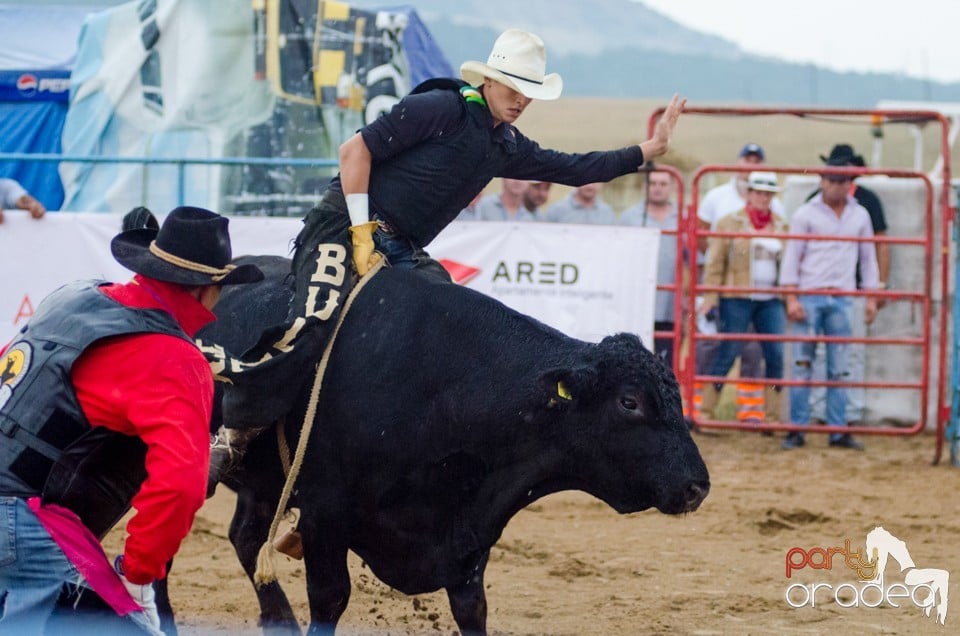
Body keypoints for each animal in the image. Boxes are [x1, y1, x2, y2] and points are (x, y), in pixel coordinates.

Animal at [165, 255, 708, 636]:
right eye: (630, 402)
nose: (697, 486)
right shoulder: (325, 514)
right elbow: (331, 599)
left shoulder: (468, 533)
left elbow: (472, 609)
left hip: (262, 487)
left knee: (245, 537)